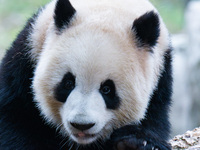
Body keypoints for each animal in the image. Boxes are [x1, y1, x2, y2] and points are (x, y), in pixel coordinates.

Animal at [0, 0, 172, 149]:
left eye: (107, 89)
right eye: (68, 83)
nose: (81, 124)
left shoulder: (161, 79)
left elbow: (154, 122)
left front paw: (135, 143)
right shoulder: (26, 57)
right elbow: (14, 117)